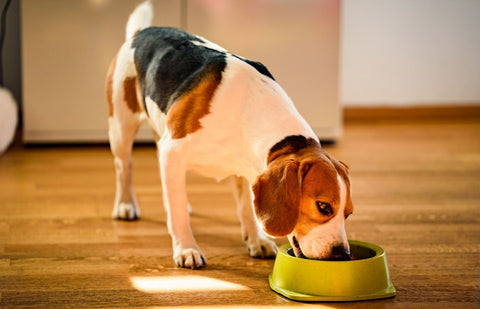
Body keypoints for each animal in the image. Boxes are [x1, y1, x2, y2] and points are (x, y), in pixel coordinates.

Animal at [106, 1, 352, 268]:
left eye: (348, 213)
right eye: (323, 206)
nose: (343, 255)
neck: (249, 107)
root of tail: (141, 32)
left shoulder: (247, 169)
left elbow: (247, 208)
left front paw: (257, 240)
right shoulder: (174, 151)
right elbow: (178, 213)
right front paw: (186, 249)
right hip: (121, 128)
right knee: (124, 167)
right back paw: (125, 205)